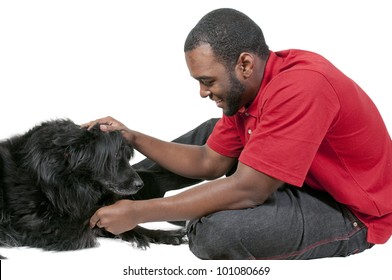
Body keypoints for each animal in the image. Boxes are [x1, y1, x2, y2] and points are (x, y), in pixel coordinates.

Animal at [0, 118, 185, 258]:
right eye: (115, 156)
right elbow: (89, 222)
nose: (140, 185)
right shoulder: (44, 227)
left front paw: (163, 234)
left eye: (126, 156)